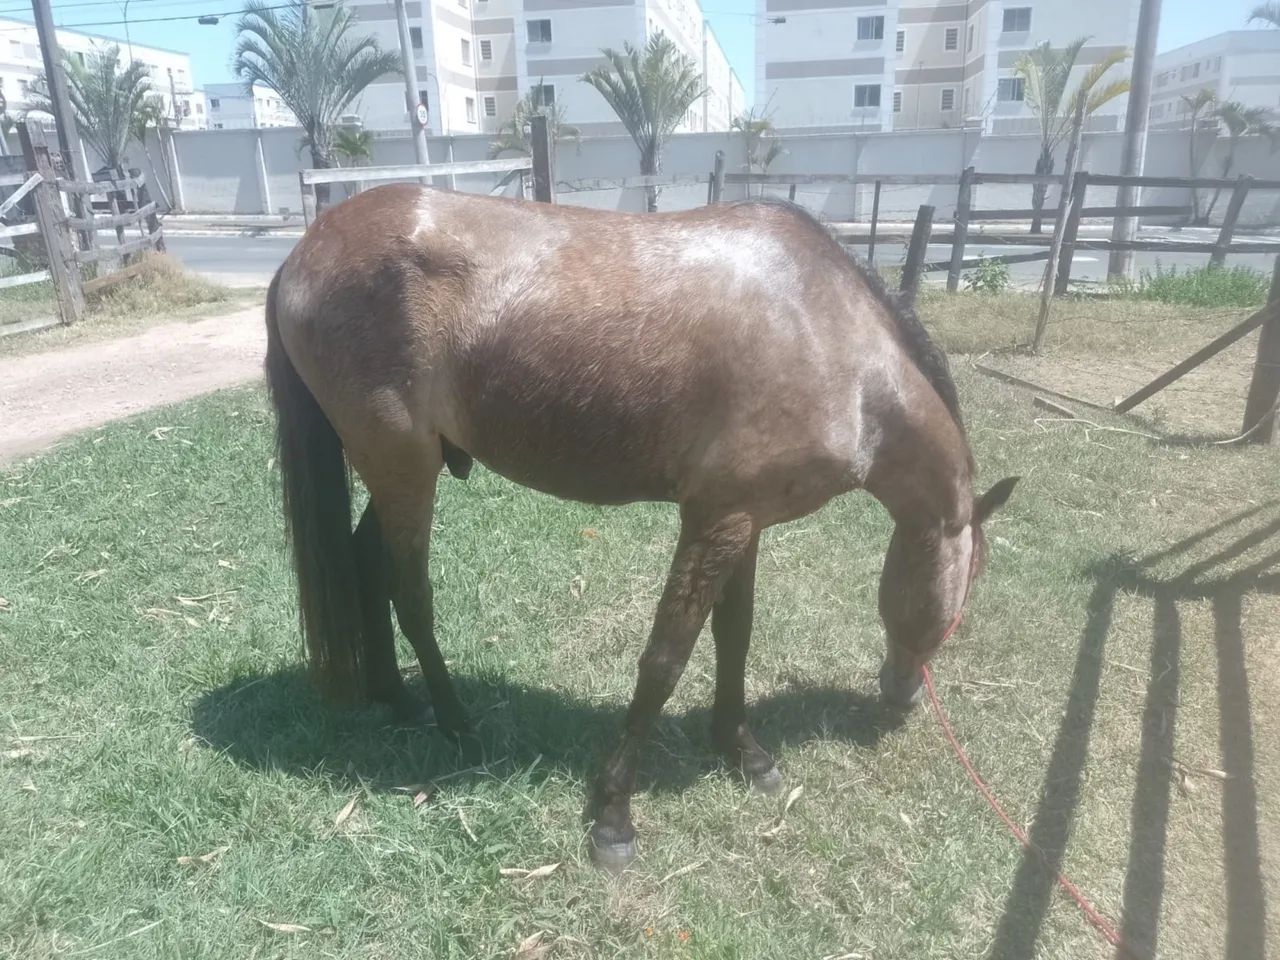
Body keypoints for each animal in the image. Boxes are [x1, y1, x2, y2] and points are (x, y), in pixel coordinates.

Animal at [263, 183, 1017, 870]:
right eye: (959, 607)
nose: (903, 696)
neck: (831, 339)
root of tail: (304, 251)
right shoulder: (713, 521)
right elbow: (665, 659)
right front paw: (614, 816)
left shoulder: (746, 520)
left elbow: (735, 636)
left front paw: (743, 751)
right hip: (404, 468)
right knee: (410, 592)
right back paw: (456, 723)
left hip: (397, 470)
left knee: (364, 562)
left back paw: (397, 698)